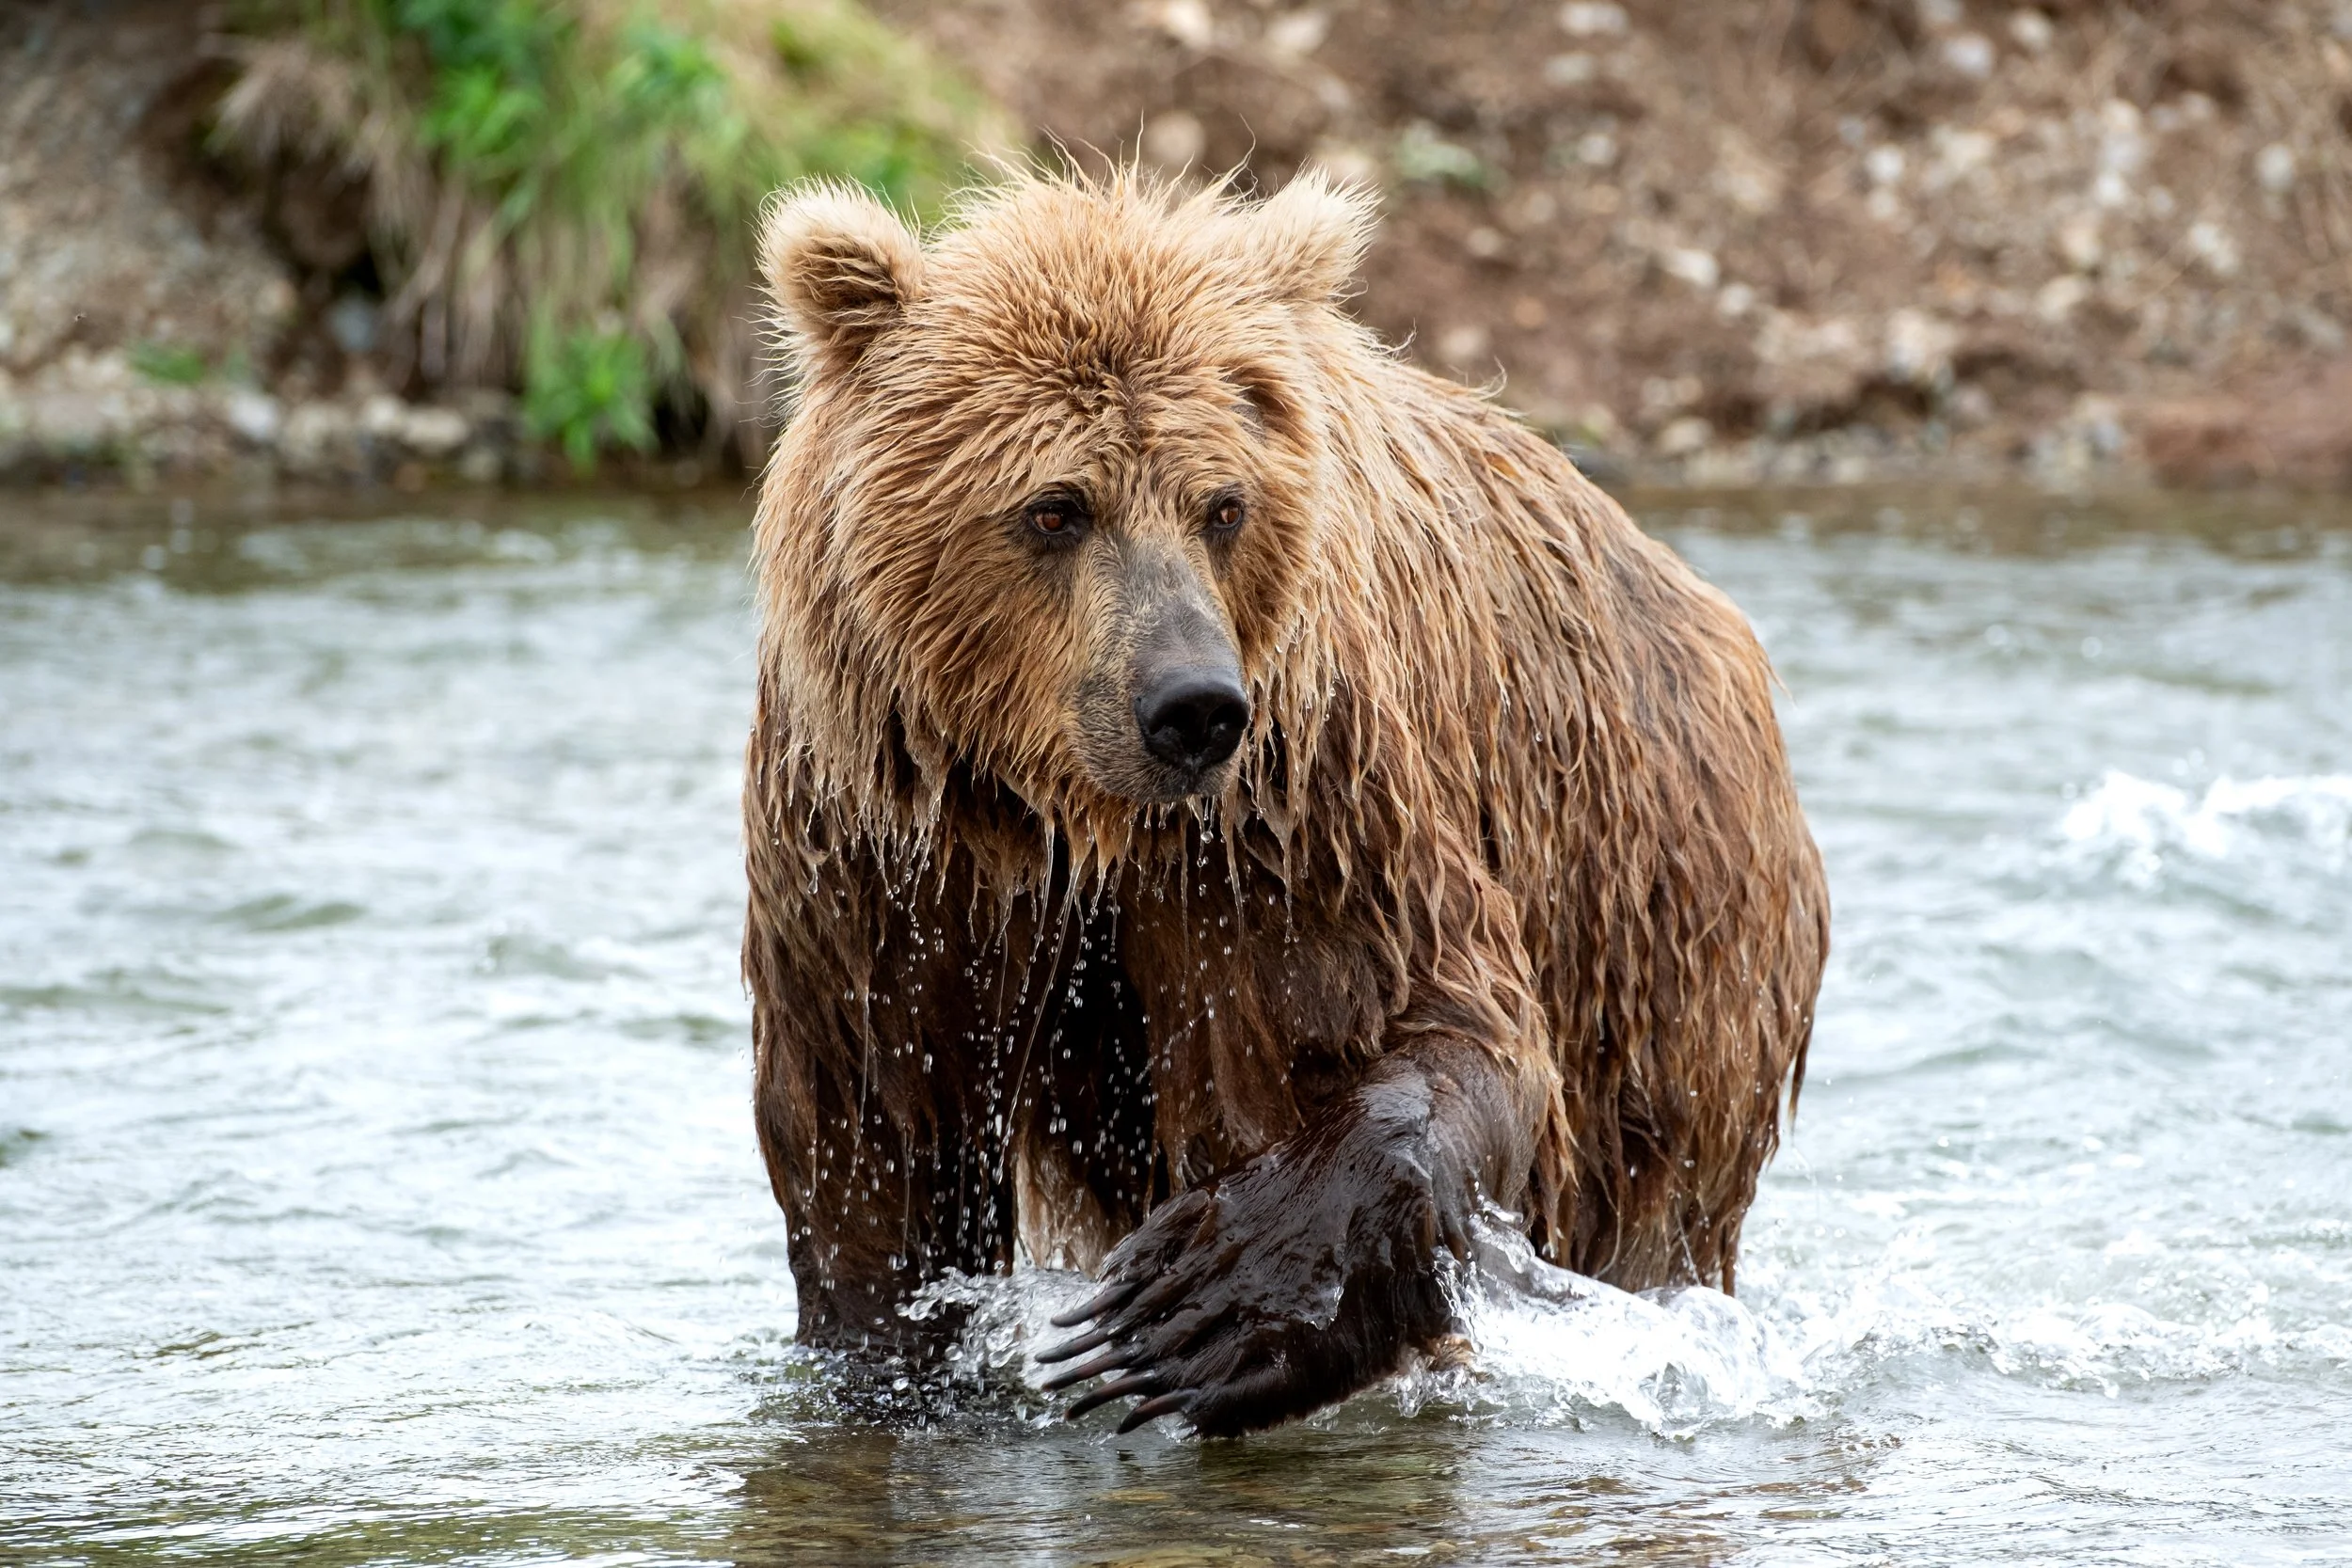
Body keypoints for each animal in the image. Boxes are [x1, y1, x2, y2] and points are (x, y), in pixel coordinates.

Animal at [741, 169, 1827, 1437]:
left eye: (1223, 503)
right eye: (1056, 506)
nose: (1193, 705)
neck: (1070, 810)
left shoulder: (1297, 799)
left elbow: (1399, 1019)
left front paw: (1209, 1303)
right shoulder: (890, 849)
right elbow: (879, 1147)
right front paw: (884, 1353)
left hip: (1661, 953)